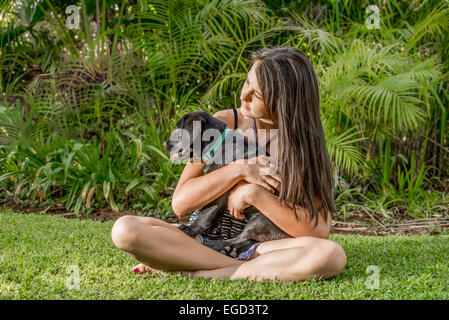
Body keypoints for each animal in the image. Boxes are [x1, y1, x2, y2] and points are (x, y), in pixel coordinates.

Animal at [163, 110, 288, 258]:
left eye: (178, 129)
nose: (164, 144)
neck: (217, 145)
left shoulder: (220, 193)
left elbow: (205, 212)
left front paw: (190, 229)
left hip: (262, 219)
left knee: (241, 237)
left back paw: (216, 245)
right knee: (247, 240)